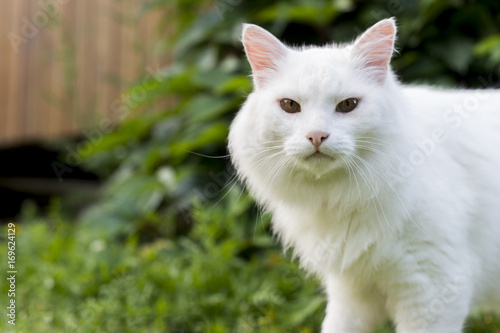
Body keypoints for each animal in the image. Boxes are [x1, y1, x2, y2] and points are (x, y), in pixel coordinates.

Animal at [229, 18, 500, 332]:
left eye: (348, 105)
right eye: (289, 106)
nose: (316, 136)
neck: (337, 198)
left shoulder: (433, 287)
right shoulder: (351, 292)